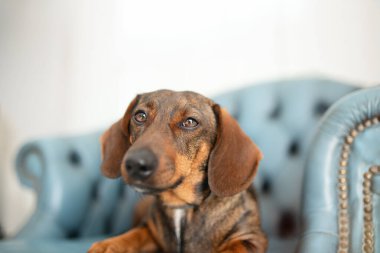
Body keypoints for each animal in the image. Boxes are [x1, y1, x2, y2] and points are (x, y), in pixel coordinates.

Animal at [88, 90, 268, 253]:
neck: (180, 206)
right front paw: (105, 245)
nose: (135, 164)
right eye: (140, 116)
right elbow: (133, 236)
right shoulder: (150, 232)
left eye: (190, 122)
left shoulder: (252, 239)